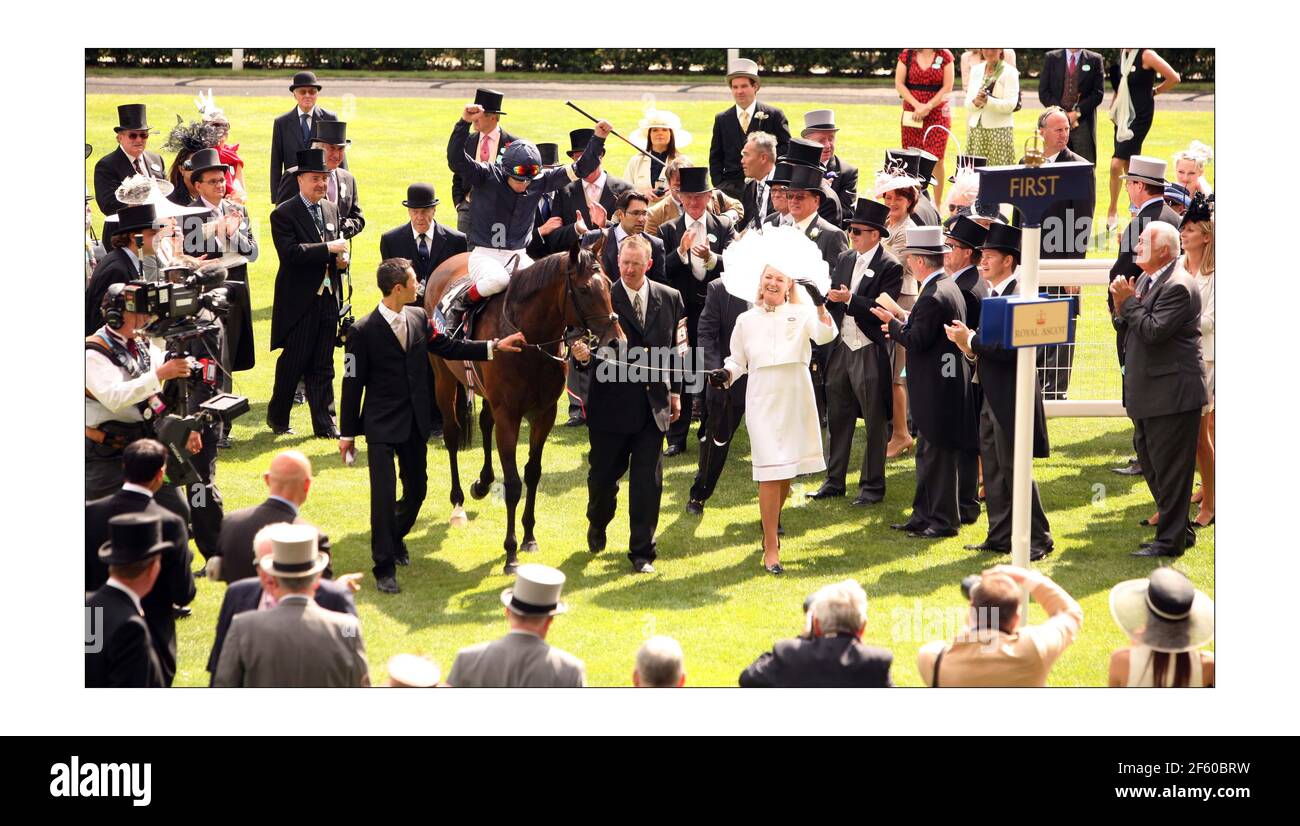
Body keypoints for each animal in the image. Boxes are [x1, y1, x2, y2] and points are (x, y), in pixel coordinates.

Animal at [423, 241, 621, 572]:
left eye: (608, 284)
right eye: (583, 290)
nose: (616, 341)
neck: (530, 341)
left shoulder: (544, 413)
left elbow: (533, 474)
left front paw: (529, 538)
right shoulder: (509, 416)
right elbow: (514, 484)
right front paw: (511, 552)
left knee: (484, 423)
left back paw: (482, 483)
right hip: (442, 378)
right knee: (451, 434)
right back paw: (458, 502)